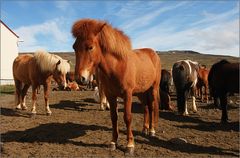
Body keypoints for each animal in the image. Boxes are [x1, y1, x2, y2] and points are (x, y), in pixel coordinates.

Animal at [71, 18, 161, 154]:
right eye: (74, 47)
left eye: (90, 47)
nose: (80, 78)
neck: (118, 66)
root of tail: (153, 54)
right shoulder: (111, 95)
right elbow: (114, 117)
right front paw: (113, 142)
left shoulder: (127, 95)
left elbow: (127, 117)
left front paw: (130, 145)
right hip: (141, 92)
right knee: (145, 108)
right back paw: (144, 129)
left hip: (153, 89)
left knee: (151, 108)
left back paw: (151, 130)